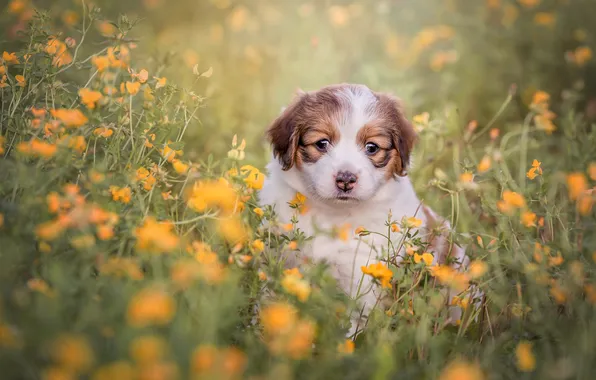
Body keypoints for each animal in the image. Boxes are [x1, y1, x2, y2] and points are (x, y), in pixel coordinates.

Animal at [258, 83, 472, 336]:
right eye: (321, 143)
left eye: (372, 147)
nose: (345, 179)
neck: (333, 214)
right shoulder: (278, 258)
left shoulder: (363, 280)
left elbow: (350, 327)